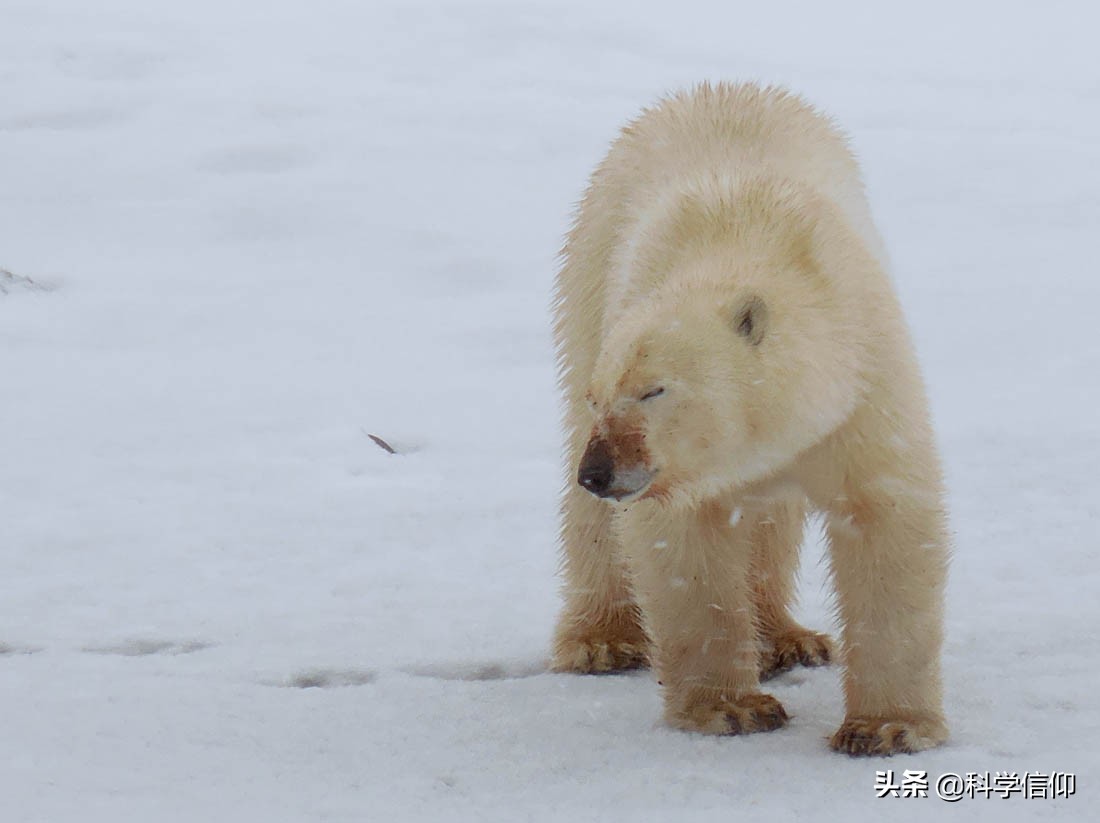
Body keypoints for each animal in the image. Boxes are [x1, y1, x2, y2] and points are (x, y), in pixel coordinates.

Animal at [554, 80, 950, 756]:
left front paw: (888, 727)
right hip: (588, 266)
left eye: (655, 390)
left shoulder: (861, 380)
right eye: (599, 397)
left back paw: (788, 639)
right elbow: (684, 548)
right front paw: (732, 708)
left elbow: (885, 517)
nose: (599, 472)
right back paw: (602, 640)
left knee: (772, 517)